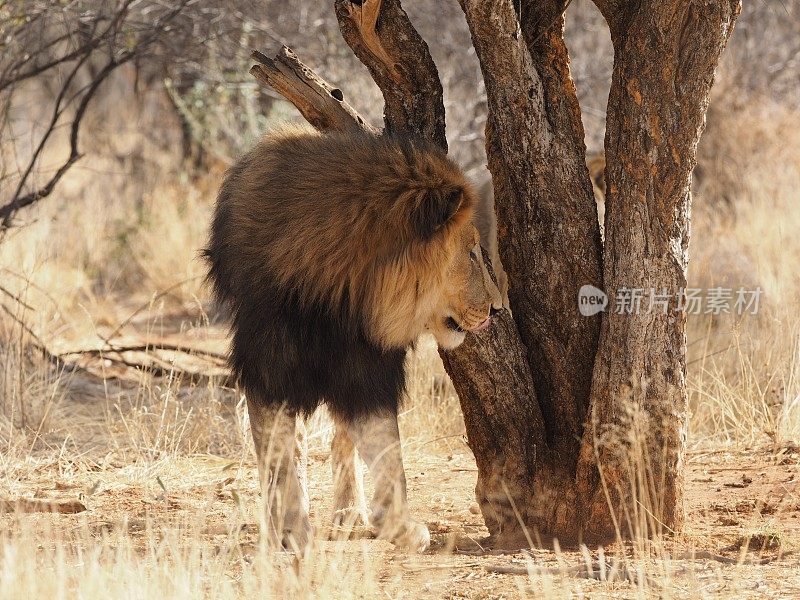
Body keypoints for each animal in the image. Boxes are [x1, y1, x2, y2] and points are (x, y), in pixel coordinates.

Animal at [205, 125, 500, 552]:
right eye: (472, 254)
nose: (497, 308)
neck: (337, 296)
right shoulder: (267, 366)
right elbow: (279, 457)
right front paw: (289, 530)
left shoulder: (366, 368)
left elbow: (386, 451)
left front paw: (395, 524)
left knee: (342, 440)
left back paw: (349, 513)